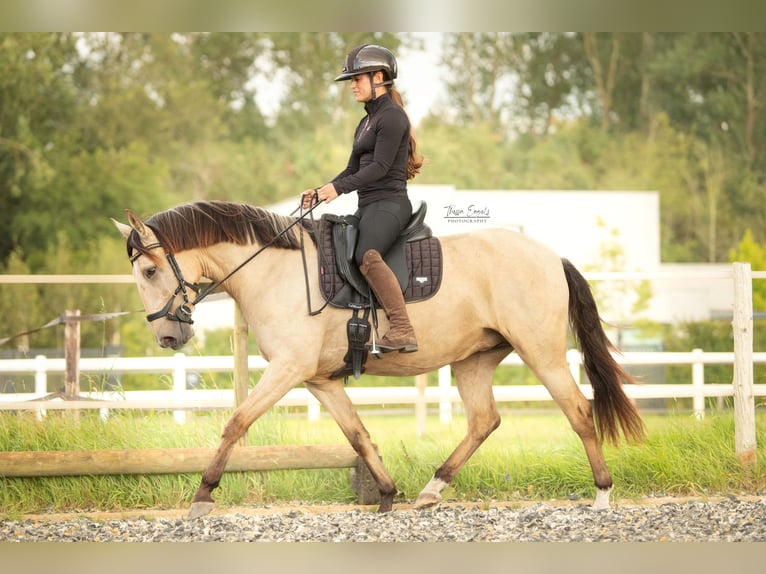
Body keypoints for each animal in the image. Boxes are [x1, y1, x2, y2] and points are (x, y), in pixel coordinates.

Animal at [111, 199, 644, 520]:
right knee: (483, 420)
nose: (168, 335)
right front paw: (387, 496)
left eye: (151, 271)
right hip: (474, 358)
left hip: (541, 351)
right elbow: (358, 435)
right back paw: (431, 489)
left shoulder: (288, 369)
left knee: (578, 411)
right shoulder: (320, 380)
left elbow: (236, 422)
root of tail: (551, 257)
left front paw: (203, 495)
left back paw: (602, 495)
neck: (274, 270)